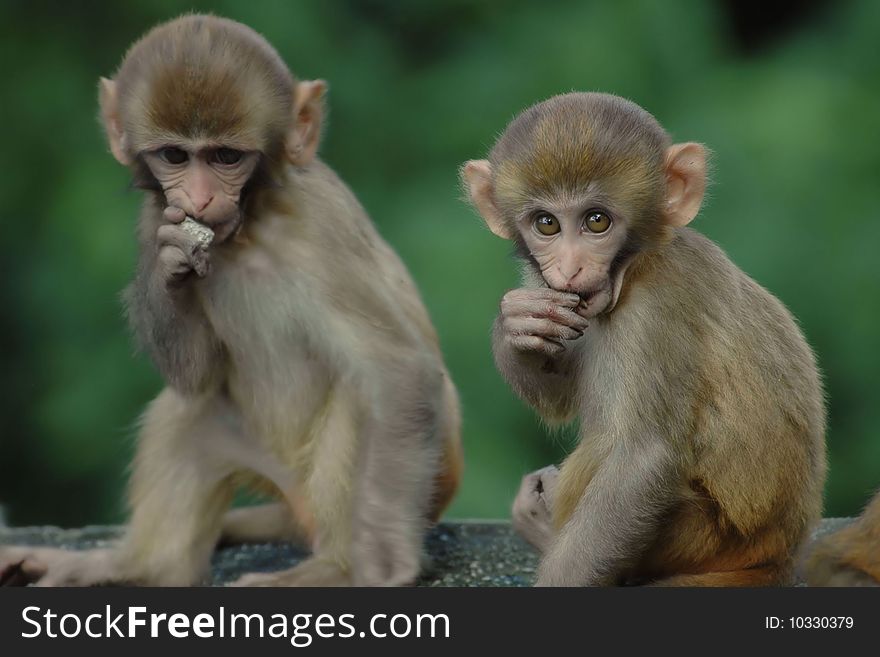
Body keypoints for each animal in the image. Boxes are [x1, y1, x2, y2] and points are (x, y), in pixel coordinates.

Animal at [0, 14, 464, 584]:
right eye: (175, 156)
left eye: (226, 156)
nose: (200, 198)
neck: (248, 231)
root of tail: (295, 505)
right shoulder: (152, 219)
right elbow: (195, 376)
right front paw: (170, 269)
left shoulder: (320, 229)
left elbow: (396, 368)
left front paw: (383, 564)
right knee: (187, 414)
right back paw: (136, 565)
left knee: (363, 394)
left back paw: (335, 566)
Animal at [464, 91, 828, 584]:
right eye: (546, 224)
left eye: (597, 221)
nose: (571, 268)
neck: (635, 269)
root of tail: (780, 556)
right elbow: (558, 395)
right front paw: (516, 325)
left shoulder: (658, 307)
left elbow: (642, 458)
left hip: (706, 538)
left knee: (605, 450)